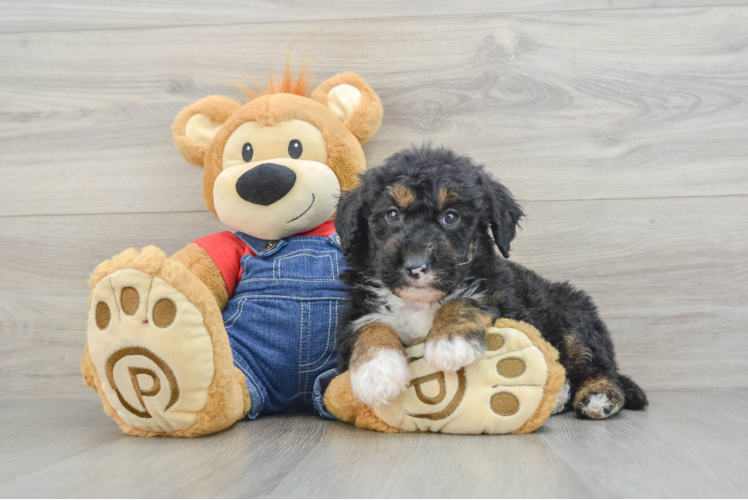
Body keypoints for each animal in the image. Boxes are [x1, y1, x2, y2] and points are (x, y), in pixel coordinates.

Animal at [334, 144, 648, 418]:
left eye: (451, 217)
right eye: (392, 214)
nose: (416, 267)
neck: (420, 302)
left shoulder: (502, 296)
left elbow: (467, 297)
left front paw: (450, 342)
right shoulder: (356, 308)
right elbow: (369, 325)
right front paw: (377, 373)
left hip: (574, 317)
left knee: (598, 367)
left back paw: (597, 397)